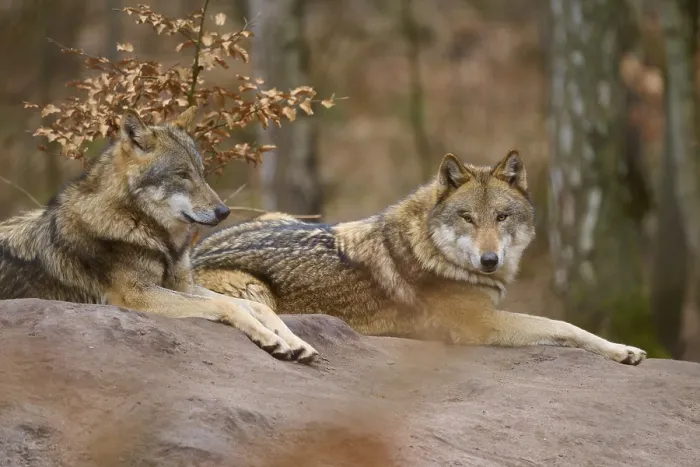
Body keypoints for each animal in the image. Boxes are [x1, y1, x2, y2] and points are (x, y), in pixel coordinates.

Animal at [0, 106, 318, 363]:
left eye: (201, 173)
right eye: (182, 175)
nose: (224, 212)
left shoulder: (182, 285)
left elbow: (258, 307)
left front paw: (295, 341)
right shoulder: (137, 296)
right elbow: (226, 304)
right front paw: (272, 339)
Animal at [192, 150, 647, 365]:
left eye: (501, 217)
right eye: (467, 217)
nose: (490, 261)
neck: (434, 250)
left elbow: (564, 325)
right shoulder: (481, 325)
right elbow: (563, 325)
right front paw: (622, 350)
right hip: (256, 291)